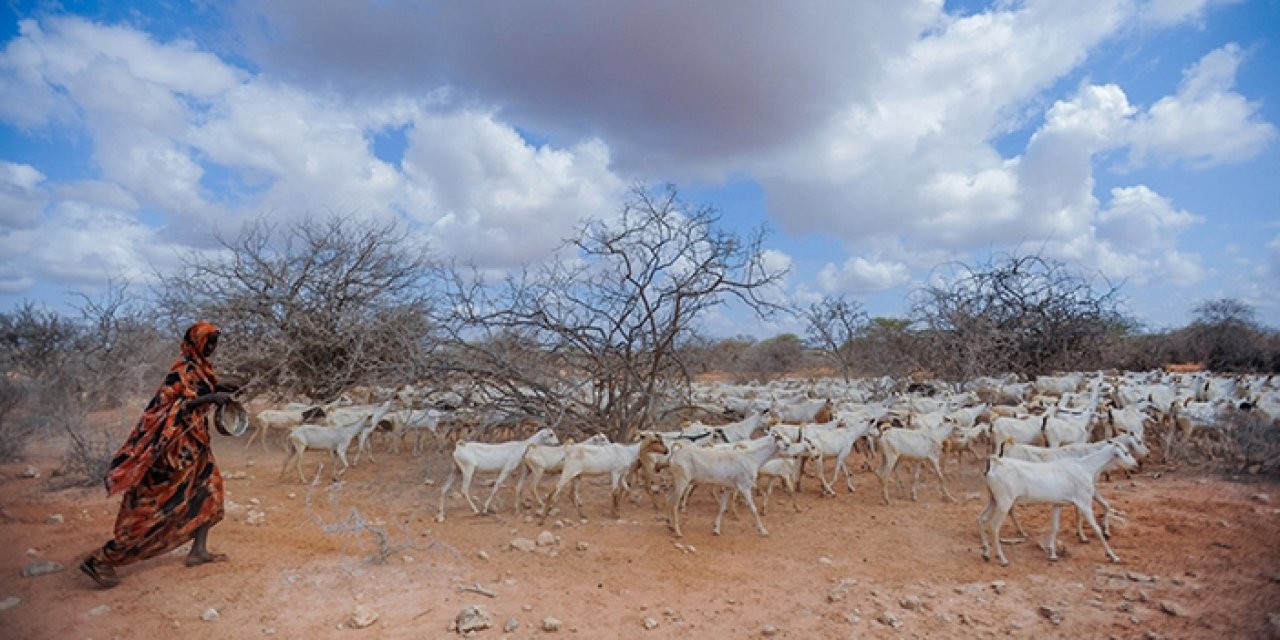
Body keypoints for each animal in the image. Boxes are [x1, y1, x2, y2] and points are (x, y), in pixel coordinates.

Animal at [977, 442, 1141, 568]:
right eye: (1126, 452)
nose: (1136, 464)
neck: (1086, 467)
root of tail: (994, 465)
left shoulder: (1057, 504)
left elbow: (1055, 527)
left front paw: (1052, 554)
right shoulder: (1084, 503)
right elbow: (1096, 529)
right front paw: (1113, 556)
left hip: (993, 500)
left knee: (981, 519)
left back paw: (985, 553)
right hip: (1004, 502)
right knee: (994, 526)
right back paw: (1003, 559)